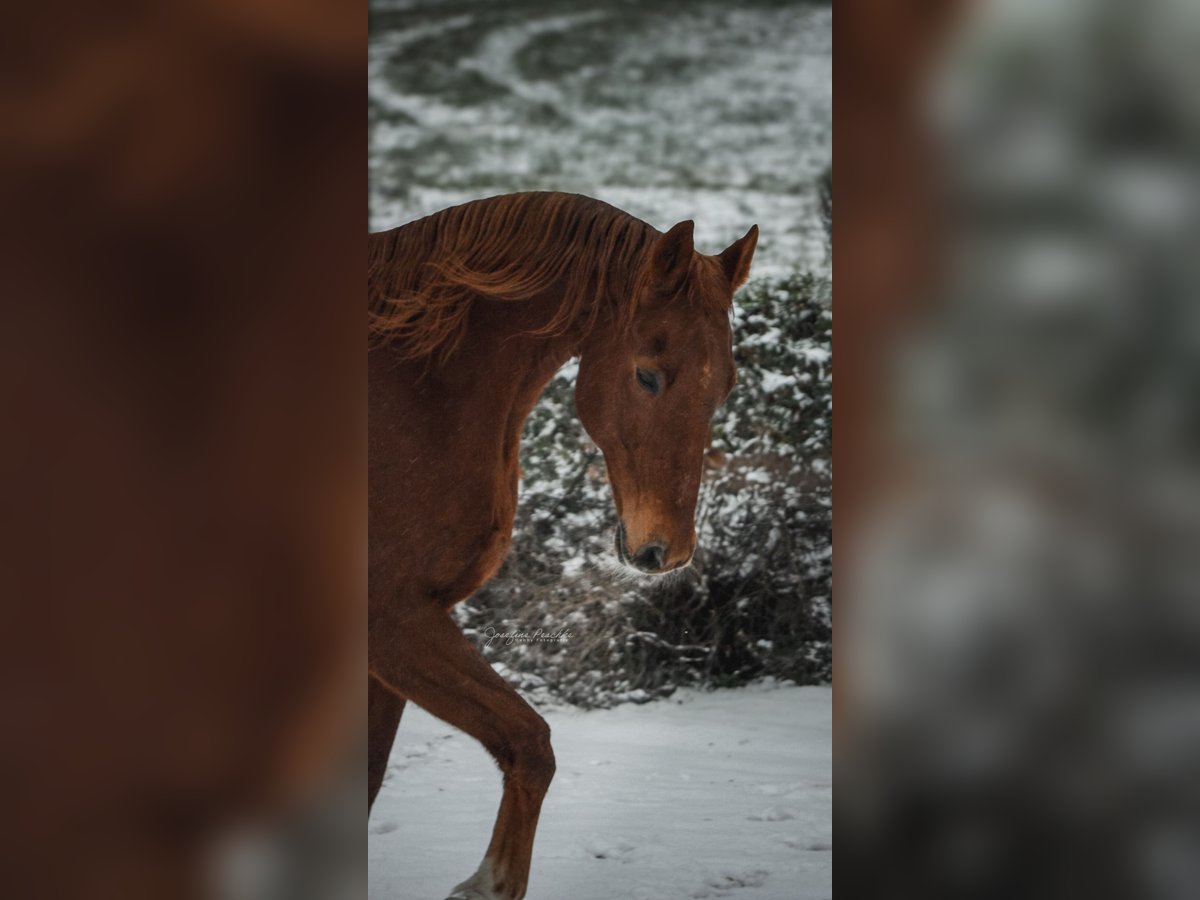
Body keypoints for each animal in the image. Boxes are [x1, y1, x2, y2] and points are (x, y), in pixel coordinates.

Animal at [369, 194, 753, 897]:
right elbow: (530, 742)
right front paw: (485, 885)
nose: (667, 550)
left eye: (727, 387)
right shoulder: (391, 620)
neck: (412, 392)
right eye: (647, 376)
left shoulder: (395, 642)